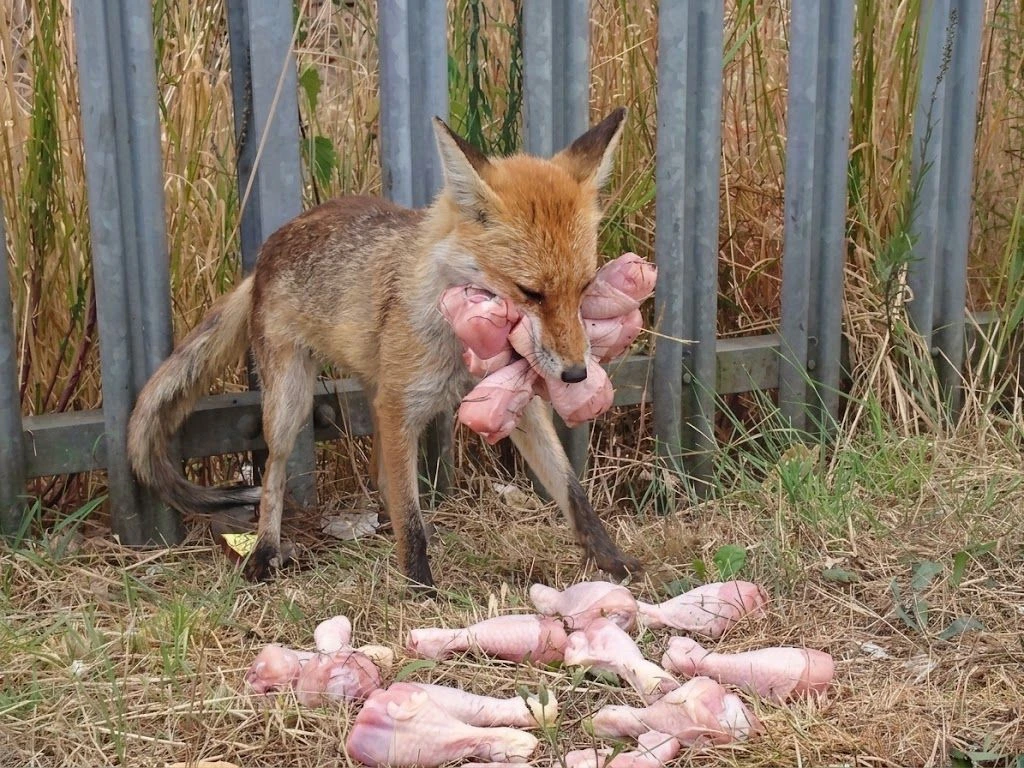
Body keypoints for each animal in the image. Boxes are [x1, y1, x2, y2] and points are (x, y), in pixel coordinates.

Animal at [127, 107, 642, 589]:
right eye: (530, 292)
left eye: (585, 286)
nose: (575, 374)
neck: (458, 348)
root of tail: (267, 250)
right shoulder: (399, 407)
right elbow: (408, 518)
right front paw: (421, 588)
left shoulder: (515, 399)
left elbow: (571, 489)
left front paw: (612, 560)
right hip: (290, 403)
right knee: (273, 475)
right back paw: (265, 550)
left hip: (370, 390)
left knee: (379, 478)